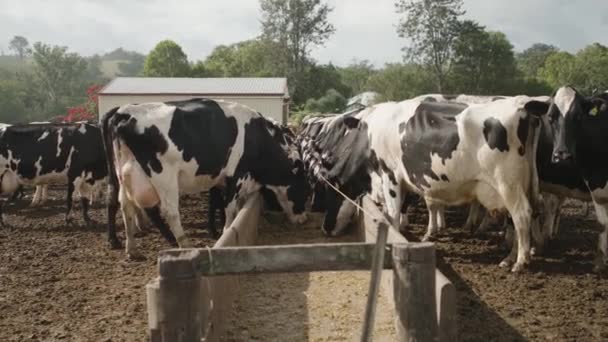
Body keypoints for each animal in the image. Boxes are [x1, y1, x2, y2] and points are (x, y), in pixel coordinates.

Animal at [102, 97, 308, 258]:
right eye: (306, 190)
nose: (303, 219)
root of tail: (124, 112)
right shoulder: (235, 175)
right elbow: (229, 208)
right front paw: (225, 230)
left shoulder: (219, 179)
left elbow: (220, 204)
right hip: (163, 177)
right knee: (169, 211)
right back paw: (184, 245)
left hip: (124, 176)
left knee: (125, 206)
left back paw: (132, 249)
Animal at [306, 97, 548, 272]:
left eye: (330, 192)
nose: (325, 228)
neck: (368, 136)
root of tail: (523, 109)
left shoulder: (391, 175)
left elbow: (393, 214)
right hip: (523, 184)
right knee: (522, 216)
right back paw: (511, 257)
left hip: (508, 184)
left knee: (522, 215)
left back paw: (520, 261)